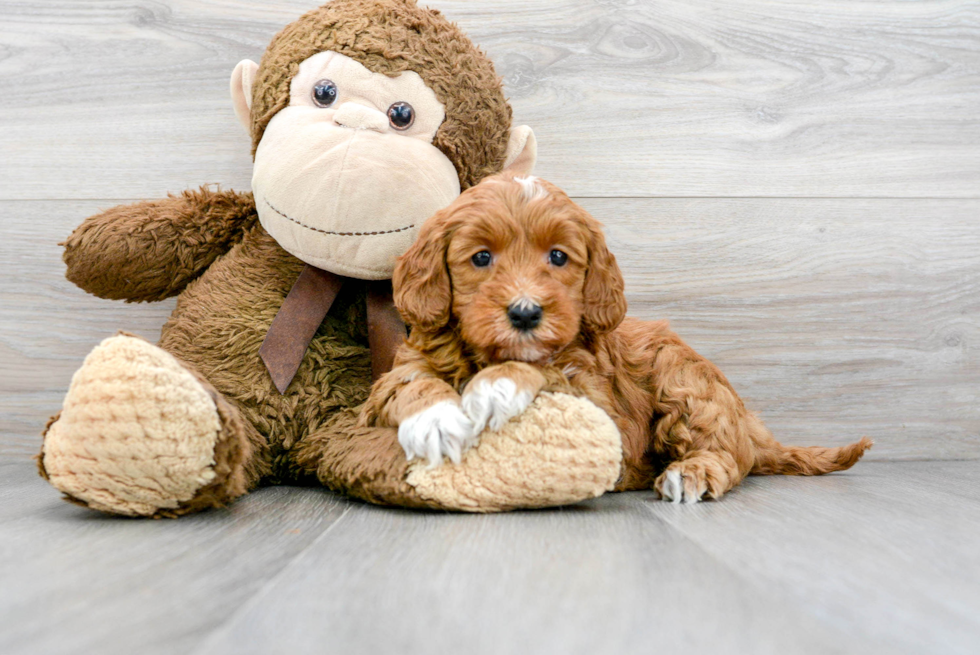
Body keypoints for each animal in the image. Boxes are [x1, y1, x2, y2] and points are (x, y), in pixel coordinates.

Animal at [362, 173, 872, 502]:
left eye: (558, 257)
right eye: (482, 257)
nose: (526, 313)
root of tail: (750, 424)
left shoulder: (601, 404)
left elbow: (547, 368)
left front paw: (497, 385)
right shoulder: (400, 371)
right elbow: (410, 383)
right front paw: (435, 422)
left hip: (685, 384)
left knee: (730, 456)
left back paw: (690, 474)